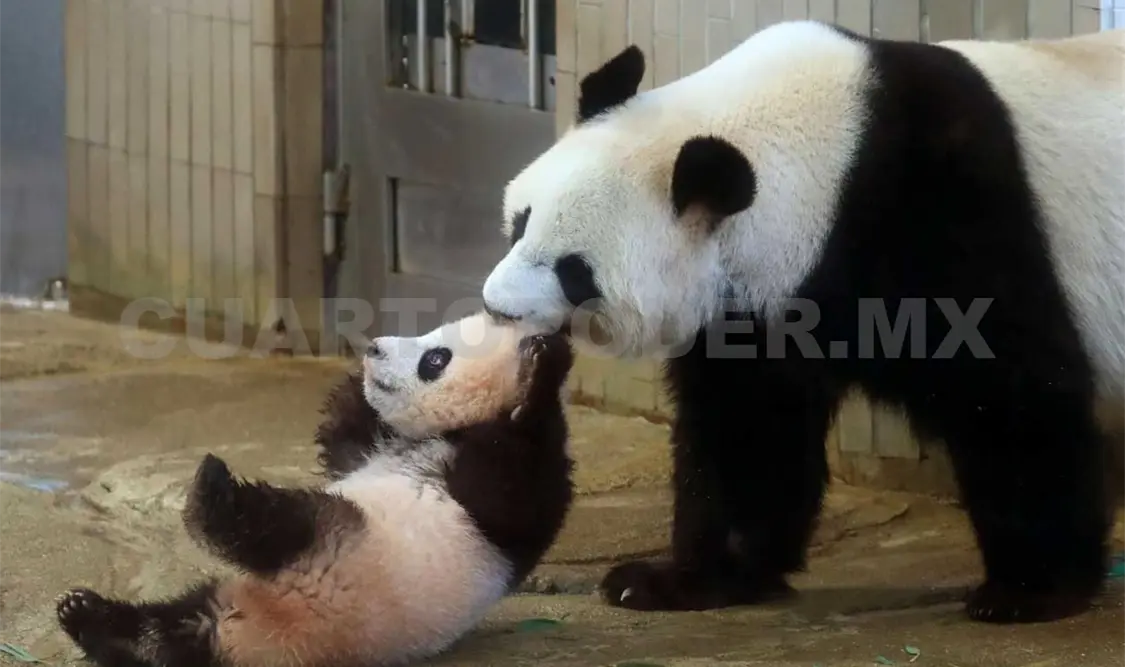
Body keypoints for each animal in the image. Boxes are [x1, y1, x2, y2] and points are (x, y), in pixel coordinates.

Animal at [54, 311, 576, 666]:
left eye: (435, 358)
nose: (376, 349)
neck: (448, 433)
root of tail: (257, 637)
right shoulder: (373, 449)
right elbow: (343, 438)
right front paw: (353, 368)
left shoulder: (501, 497)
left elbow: (515, 490)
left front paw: (543, 368)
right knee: (174, 631)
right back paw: (89, 615)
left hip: (340, 545)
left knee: (276, 524)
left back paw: (210, 495)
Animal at [480, 20, 1125, 624]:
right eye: (521, 222)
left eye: (574, 271)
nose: (496, 306)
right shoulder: (762, 301)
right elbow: (748, 424)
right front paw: (678, 580)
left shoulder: (943, 210)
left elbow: (1009, 389)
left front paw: (1030, 589)